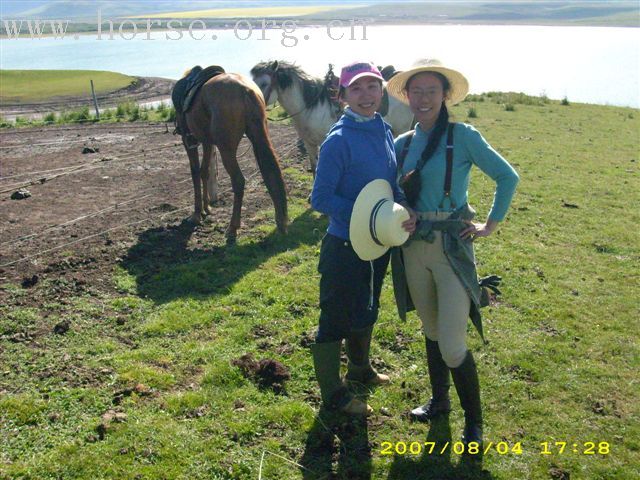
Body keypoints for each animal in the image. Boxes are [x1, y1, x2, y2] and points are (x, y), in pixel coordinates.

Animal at [174, 69, 286, 242]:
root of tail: (246, 90)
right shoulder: (207, 142)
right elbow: (204, 171)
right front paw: (207, 208)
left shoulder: (189, 142)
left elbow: (195, 173)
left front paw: (197, 214)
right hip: (259, 136)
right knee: (272, 174)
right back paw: (281, 223)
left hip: (227, 150)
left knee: (238, 181)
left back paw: (232, 228)